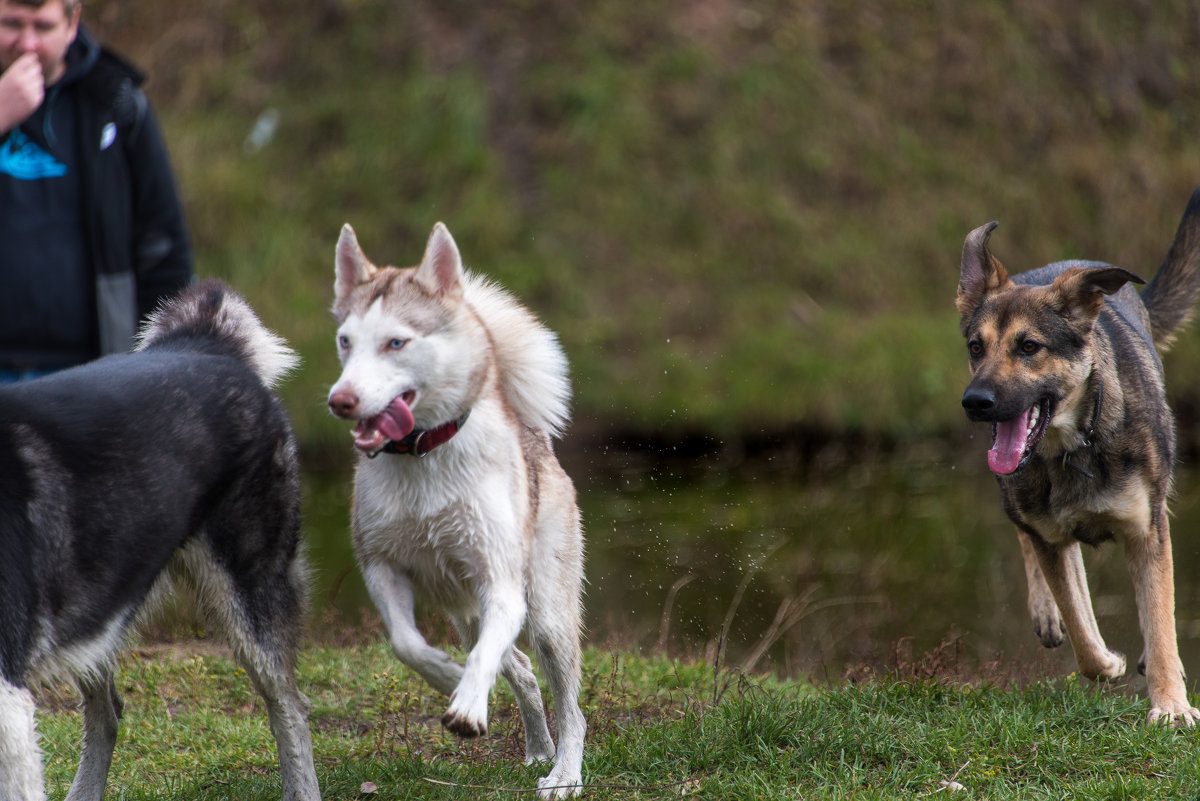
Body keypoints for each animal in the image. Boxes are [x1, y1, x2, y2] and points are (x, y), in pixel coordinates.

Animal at [326, 221, 588, 796]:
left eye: (396, 342)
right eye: (345, 341)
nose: (341, 400)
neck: (422, 456)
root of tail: (525, 424)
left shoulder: (502, 587)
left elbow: (483, 660)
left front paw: (467, 706)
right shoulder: (381, 568)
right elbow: (408, 645)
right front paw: (448, 676)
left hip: (546, 615)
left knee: (570, 705)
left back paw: (564, 773)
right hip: (466, 612)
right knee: (521, 670)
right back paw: (539, 749)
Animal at [960, 190, 1200, 729]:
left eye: (1029, 346)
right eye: (975, 347)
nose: (975, 402)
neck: (1071, 448)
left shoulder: (1147, 527)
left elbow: (1160, 618)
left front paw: (1172, 706)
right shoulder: (1047, 530)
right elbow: (1081, 629)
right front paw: (1105, 659)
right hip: (1020, 501)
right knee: (1037, 547)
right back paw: (1049, 613)